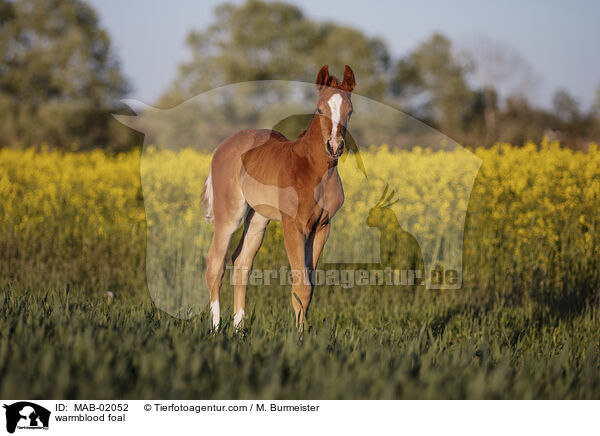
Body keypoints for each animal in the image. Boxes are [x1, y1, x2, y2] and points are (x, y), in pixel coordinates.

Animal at [205, 64, 356, 330]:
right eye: (320, 108)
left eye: (350, 110)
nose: (334, 146)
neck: (314, 170)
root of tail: (221, 147)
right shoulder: (293, 225)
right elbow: (301, 286)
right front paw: (298, 337)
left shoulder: (322, 226)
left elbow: (310, 287)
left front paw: (303, 333)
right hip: (230, 216)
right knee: (215, 264)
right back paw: (215, 329)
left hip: (258, 218)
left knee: (241, 264)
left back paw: (239, 330)